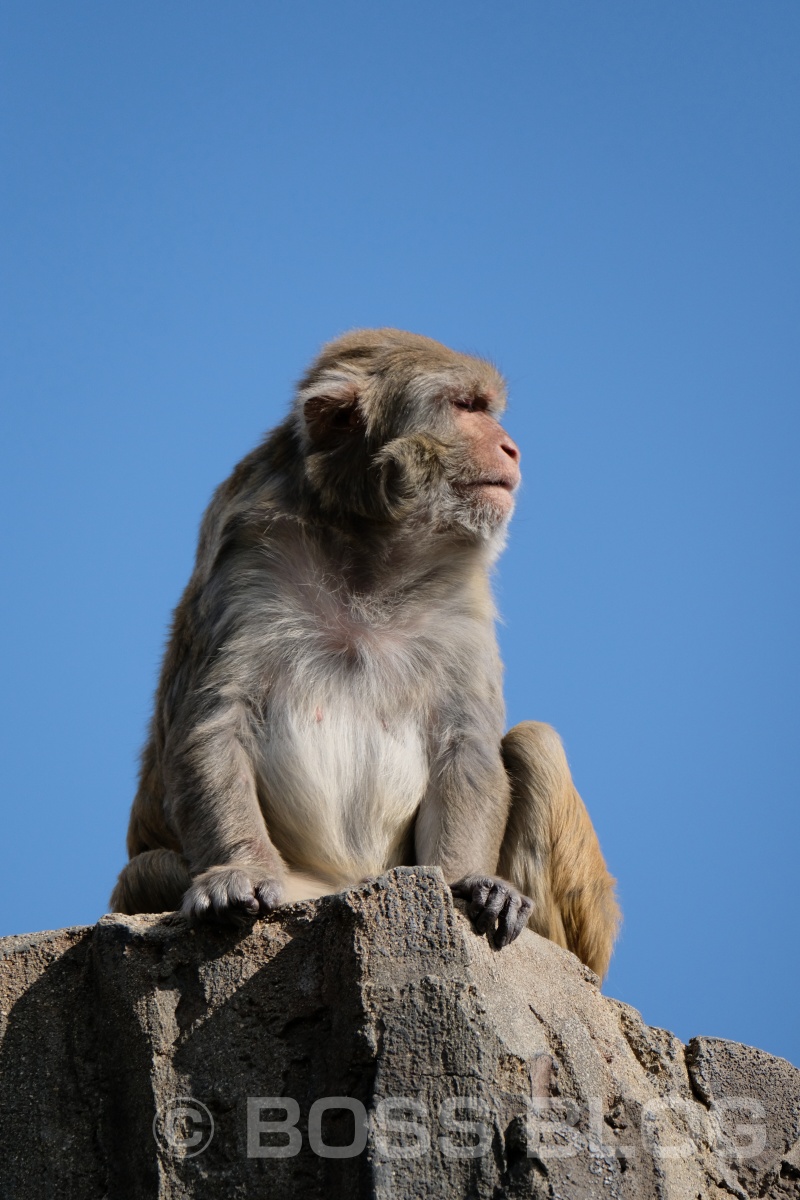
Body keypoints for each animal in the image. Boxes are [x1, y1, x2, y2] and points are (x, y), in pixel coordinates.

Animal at [109, 326, 618, 974]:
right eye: (467, 407)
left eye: (488, 409)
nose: (512, 449)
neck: (371, 550)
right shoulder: (247, 558)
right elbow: (215, 722)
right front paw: (237, 872)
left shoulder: (463, 597)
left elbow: (465, 742)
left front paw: (467, 882)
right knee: (146, 873)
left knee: (533, 741)